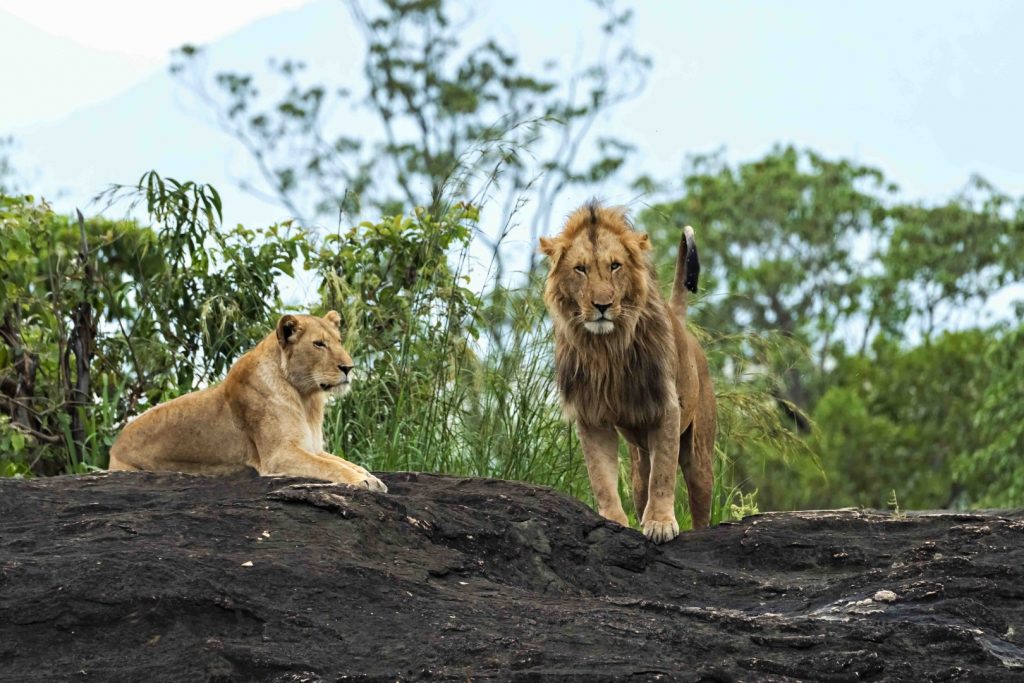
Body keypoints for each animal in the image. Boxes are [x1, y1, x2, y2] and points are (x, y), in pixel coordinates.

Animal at [540, 200, 716, 540]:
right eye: (580, 269)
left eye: (615, 266)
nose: (602, 306)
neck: (607, 347)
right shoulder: (591, 415)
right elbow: (601, 477)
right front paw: (613, 520)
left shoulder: (666, 407)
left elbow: (663, 474)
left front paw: (660, 523)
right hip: (637, 462)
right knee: (641, 483)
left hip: (699, 454)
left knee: (700, 503)